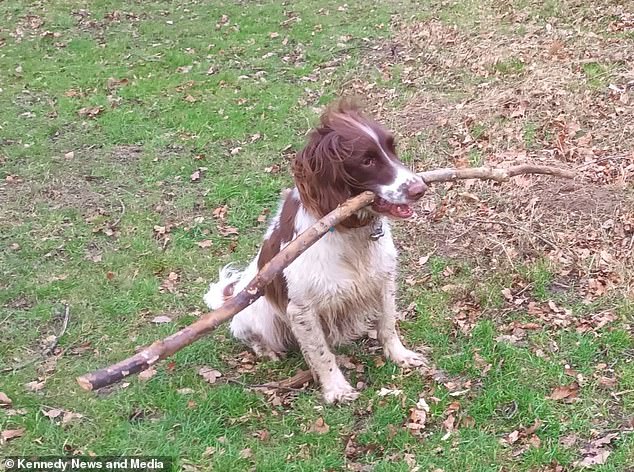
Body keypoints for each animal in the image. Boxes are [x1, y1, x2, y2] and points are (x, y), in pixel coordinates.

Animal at [205, 100, 428, 402]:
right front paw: (336, 388)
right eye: (367, 161)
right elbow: (322, 354)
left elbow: (388, 324)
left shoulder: (383, 279)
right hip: (260, 315)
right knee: (247, 333)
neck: (350, 232)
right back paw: (266, 350)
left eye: (392, 148)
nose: (420, 188)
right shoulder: (301, 309)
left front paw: (400, 355)